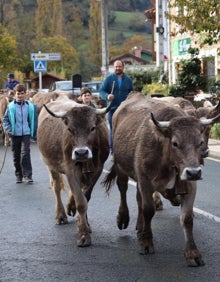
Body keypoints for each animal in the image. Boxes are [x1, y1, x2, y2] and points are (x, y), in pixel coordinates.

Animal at [103, 92, 220, 266]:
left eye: (199, 142)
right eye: (175, 143)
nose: (194, 172)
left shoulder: (190, 185)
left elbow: (187, 218)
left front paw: (192, 253)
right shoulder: (145, 181)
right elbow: (148, 210)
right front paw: (146, 243)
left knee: (138, 199)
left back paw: (140, 226)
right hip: (121, 166)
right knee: (123, 188)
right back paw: (124, 218)